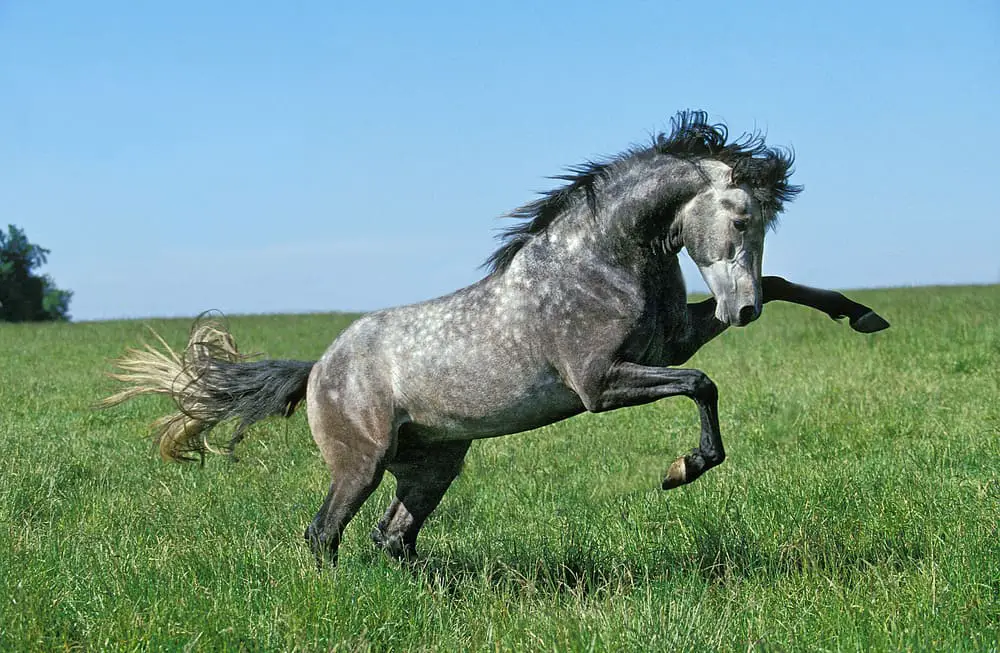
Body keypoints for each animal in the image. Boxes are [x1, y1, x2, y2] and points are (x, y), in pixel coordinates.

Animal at [97, 112, 888, 564]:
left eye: (765, 220)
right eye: (742, 216)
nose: (740, 309)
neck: (598, 261)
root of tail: (319, 367)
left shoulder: (669, 341)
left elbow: (780, 289)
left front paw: (861, 315)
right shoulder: (601, 382)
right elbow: (703, 385)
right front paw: (681, 469)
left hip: (433, 465)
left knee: (393, 536)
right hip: (362, 463)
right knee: (325, 534)